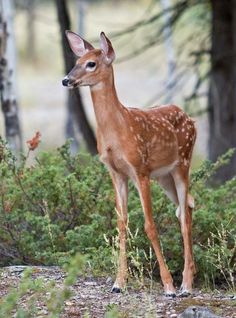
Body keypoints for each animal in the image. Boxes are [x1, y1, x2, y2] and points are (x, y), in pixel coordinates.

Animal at [62, 31, 197, 296]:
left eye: (91, 63)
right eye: (76, 61)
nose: (66, 80)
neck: (117, 130)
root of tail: (190, 119)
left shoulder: (140, 169)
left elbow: (150, 225)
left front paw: (168, 286)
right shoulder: (116, 173)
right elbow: (121, 224)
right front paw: (118, 283)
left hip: (183, 163)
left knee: (185, 216)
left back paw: (185, 285)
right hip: (164, 176)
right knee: (186, 206)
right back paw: (191, 276)